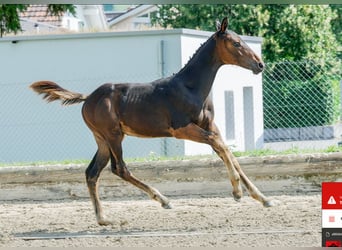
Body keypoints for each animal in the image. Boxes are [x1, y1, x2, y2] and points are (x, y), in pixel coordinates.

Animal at [30, 17, 276, 225]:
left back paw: (103, 218)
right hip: (113, 135)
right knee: (119, 169)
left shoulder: (209, 125)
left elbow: (228, 152)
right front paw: (237, 192)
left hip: (101, 139)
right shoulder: (181, 129)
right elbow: (221, 146)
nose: (260, 65)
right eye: (236, 43)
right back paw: (163, 200)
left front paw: (262, 197)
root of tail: (88, 97)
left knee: (92, 172)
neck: (190, 88)